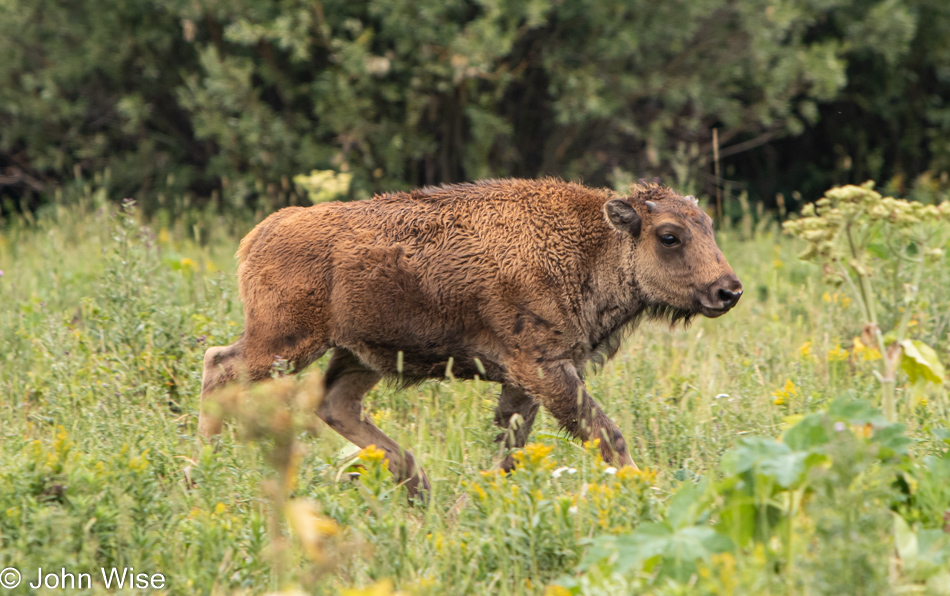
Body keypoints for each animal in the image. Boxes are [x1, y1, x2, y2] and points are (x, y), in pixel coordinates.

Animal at [201, 178, 748, 498]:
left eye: (708, 226)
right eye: (670, 236)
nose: (728, 290)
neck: (595, 243)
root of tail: (259, 235)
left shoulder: (526, 381)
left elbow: (511, 449)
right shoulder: (545, 369)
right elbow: (605, 433)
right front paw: (648, 497)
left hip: (359, 356)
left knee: (335, 404)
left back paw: (420, 487)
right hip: (284, 343)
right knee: (220, 367)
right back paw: (201, 467)